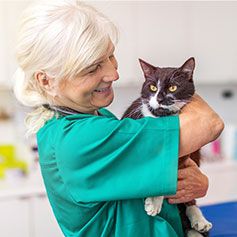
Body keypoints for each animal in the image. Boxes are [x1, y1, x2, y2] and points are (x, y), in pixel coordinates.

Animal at [121, 57, 212, 237]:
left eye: (173, 87)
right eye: (153, 87)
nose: (160, 99)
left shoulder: (185, 151)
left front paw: (154, 202)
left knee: (189, 200)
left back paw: (199, 221)